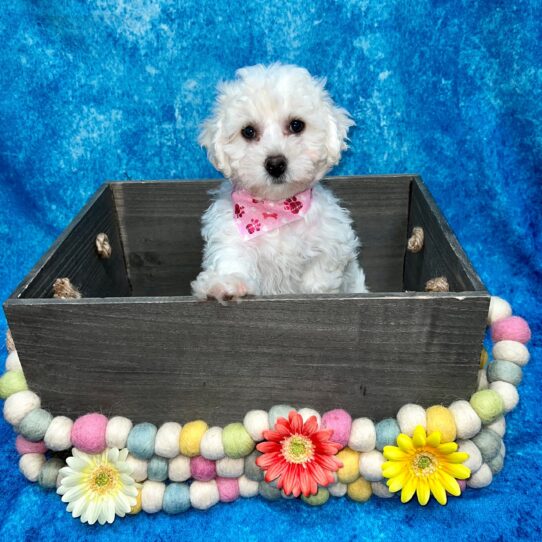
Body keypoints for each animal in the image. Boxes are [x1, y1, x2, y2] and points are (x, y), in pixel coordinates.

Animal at [191, 65, 370, 302]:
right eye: (248, 131)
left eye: (296, 125)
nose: (276, 164)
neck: (277, 208)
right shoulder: (230, 236)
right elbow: (231, 259)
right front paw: (228, 283)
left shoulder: (331, 242)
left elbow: (320, 275)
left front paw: (314, 292)